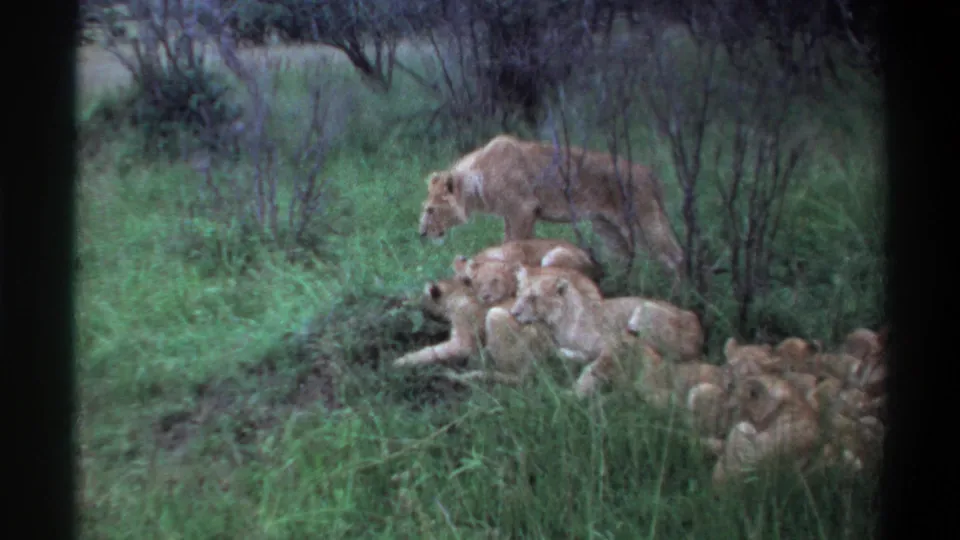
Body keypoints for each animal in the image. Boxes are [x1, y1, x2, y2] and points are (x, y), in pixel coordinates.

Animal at [416, 134, 685, 278]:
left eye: (430, 210)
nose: (421, 233)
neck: (476, 179)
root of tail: (649, 173)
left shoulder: (523, 209)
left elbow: (515, 243)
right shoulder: (511, 215)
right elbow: (509, 241)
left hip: (644, 221)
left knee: (675, 257)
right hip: (606, 227)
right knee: (623, 257)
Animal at [508, 266, 701, 397]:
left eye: (533, 298)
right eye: (518, 293)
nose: (513, 313)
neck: (556, 324)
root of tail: (698, 327)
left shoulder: (612, 343)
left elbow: (593, 369)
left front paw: (574, 393)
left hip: (642, 310)